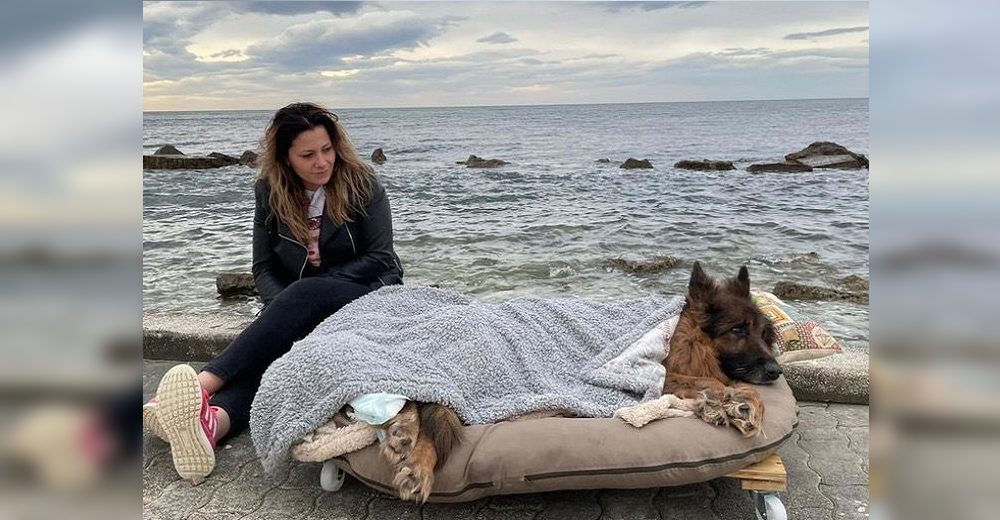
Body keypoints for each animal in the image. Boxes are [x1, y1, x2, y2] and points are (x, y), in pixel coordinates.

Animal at [380, 262, 780, 502]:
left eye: (764, 332)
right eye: (738, 330)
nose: (776, 371)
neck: (684, 335)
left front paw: (724, 408)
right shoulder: (655, 375)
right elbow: (724, 385)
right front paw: (742, 405)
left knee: (422, 404)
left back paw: (405, 441)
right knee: (427, 404)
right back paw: (413, 457)